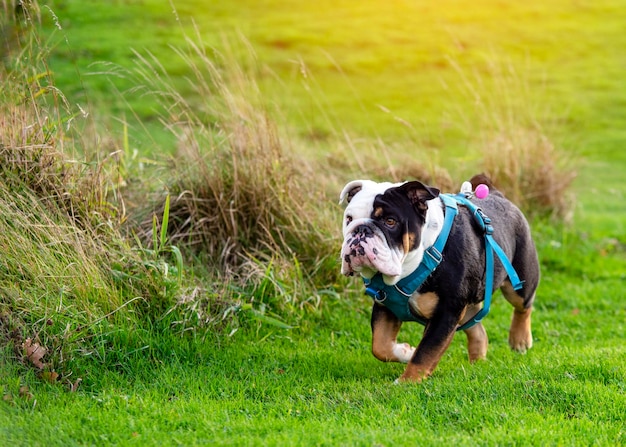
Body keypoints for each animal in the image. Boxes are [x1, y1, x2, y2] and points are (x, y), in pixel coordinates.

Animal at [338, 173, 540, 384]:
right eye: (349, 218)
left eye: (390, 221)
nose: (361, 230)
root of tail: (496, 193)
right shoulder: (385, 304)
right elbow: (380, 345)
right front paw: (406, 352)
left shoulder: (446, 312)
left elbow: (425, 352)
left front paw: (407, 381)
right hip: (467, 303)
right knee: (477, 329)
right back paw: (477, 361)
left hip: (519, 280)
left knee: (524, 305)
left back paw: (520, 340)